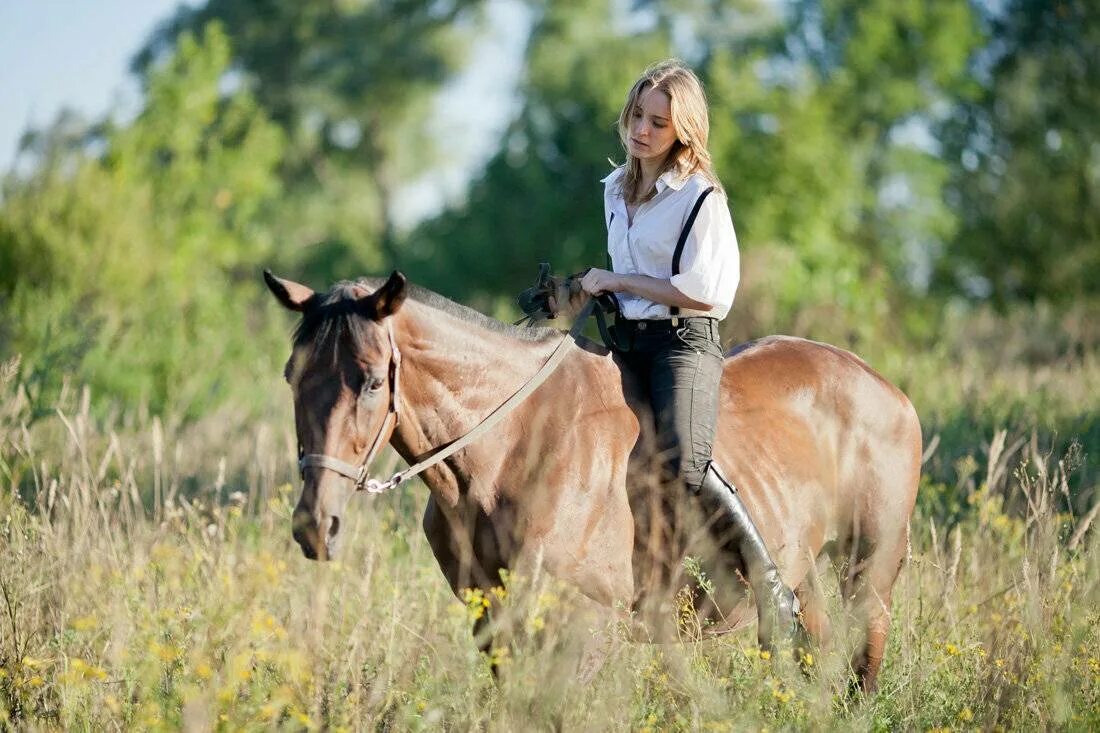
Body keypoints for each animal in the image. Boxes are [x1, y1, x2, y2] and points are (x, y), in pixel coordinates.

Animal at [264, 268, 919, 691]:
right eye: (292, 376)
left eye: (374, 380)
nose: (315, 526)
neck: (509, 449)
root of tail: (886, 388)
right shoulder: (493, 622)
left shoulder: (584, 627)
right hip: (805, 570)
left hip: (870, 568)